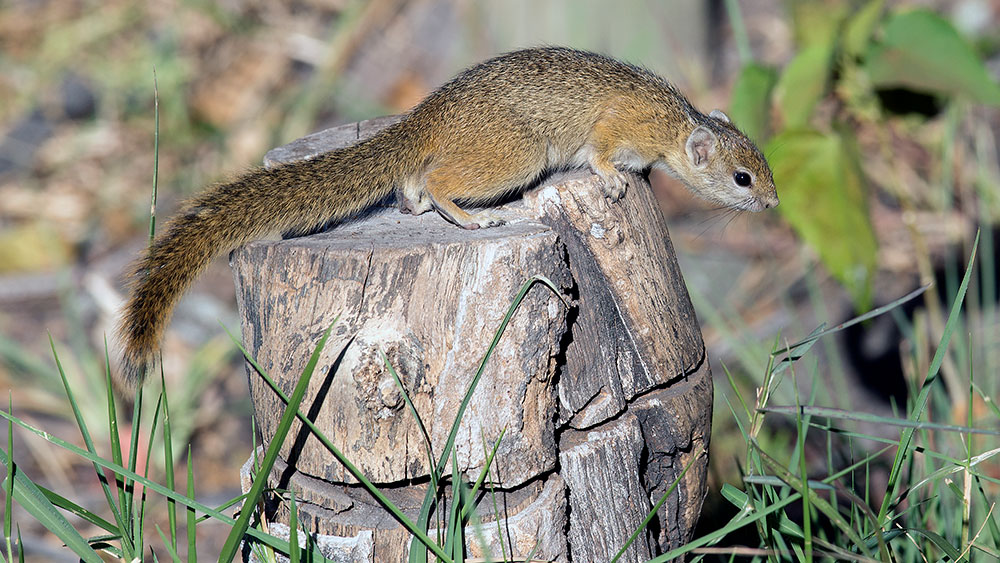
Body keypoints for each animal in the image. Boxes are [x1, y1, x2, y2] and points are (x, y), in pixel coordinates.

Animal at [115, 46, 772, 386]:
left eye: (763, 164)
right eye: (742, 178)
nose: (772, 203)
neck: (673, 123)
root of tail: (425, 118)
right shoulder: (616, 128)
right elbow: (605, 154)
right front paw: (614, 180)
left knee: (416, 183)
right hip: (518, 154)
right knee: (439, 181)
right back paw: (474, 218)